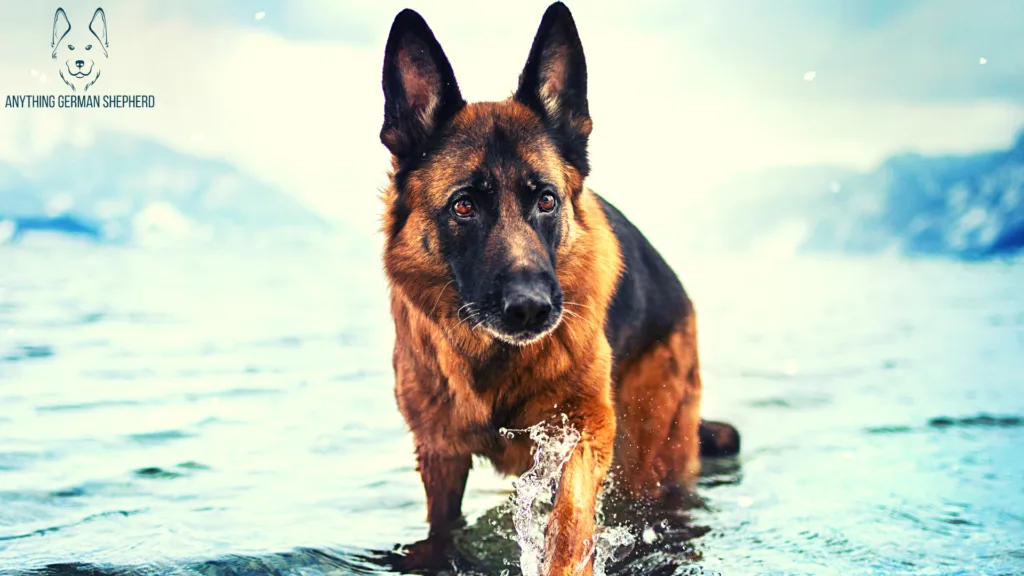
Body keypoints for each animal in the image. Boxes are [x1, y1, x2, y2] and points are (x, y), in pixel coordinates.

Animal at [376, 2, 737, 569]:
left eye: (546, 199)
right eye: (464, 206)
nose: (530, 308)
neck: (498, 363)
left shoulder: (586, 427)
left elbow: (569, 524)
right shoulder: (439, 454)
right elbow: (442, 532)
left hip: (650, 455)